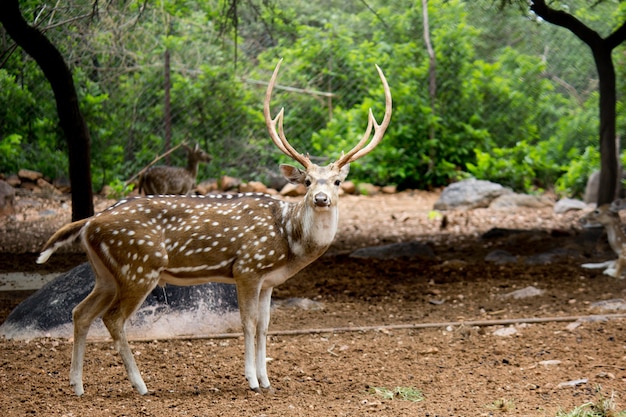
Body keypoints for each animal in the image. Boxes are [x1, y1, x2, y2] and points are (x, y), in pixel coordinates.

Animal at [34, 60, 390, 394]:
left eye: (338, 181)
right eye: (306, 181)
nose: (320, 198)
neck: (289, 239)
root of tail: (89, 222)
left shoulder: (269, 280)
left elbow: (265, 325)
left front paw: (267, 380)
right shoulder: (247, 268)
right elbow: (247, 323)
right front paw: (252, 380)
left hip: (106, 274)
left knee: (80, 312)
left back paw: (77, 385)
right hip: (139, 267)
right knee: (113, 318)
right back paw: (140, 385)